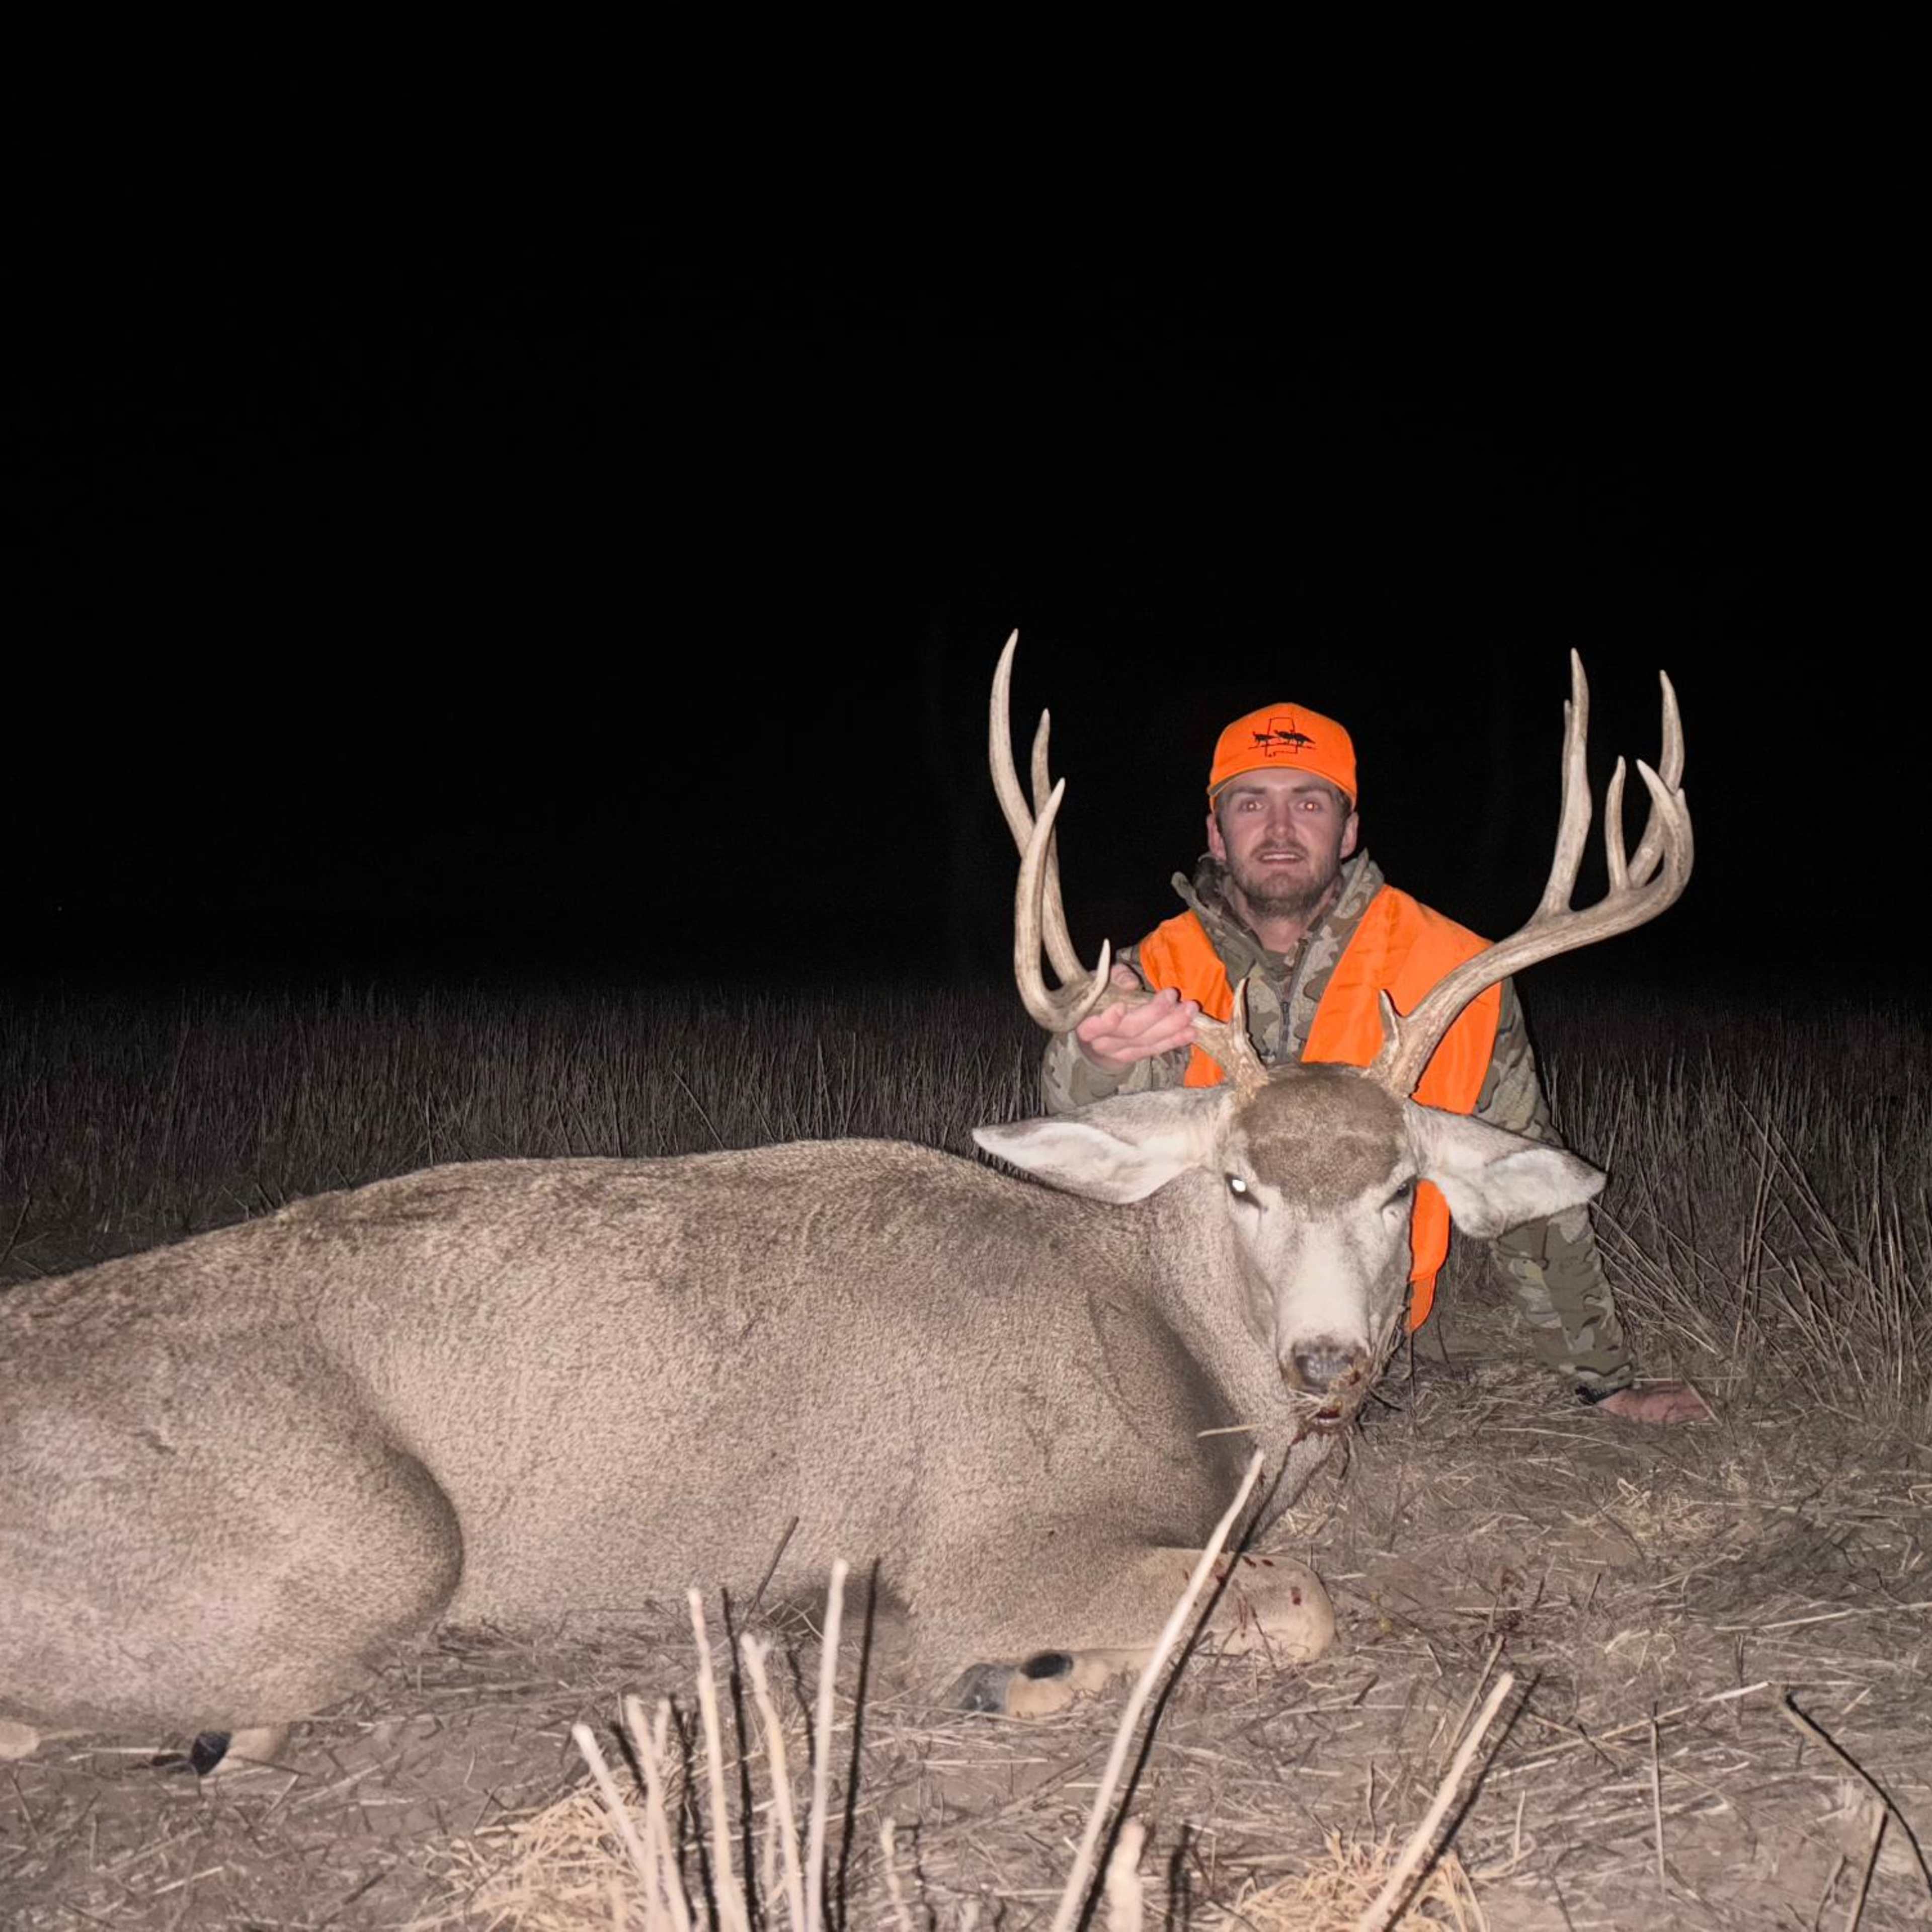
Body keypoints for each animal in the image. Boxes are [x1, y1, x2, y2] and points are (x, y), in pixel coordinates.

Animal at [0, 639, 1689, 1767]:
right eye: (1238, 1181)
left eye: (1401, 1184)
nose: (1326, 1362)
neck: (1163, 1356)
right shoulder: (987, 1534)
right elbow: (1288, 1604)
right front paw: (1015, 1672)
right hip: (370, 1540)